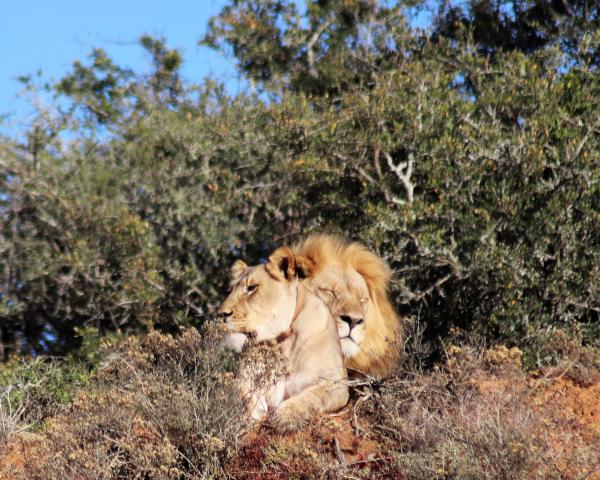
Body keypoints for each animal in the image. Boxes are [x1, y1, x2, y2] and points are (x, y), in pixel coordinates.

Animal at [217, 248, 346, 432]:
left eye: (251, 288)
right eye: (230, 291)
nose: (220, 314)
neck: (281, 341)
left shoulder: (335, 381)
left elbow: (313, 395)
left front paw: (285, 416)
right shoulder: (248, 381)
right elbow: (243, 397)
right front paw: (242, 418)